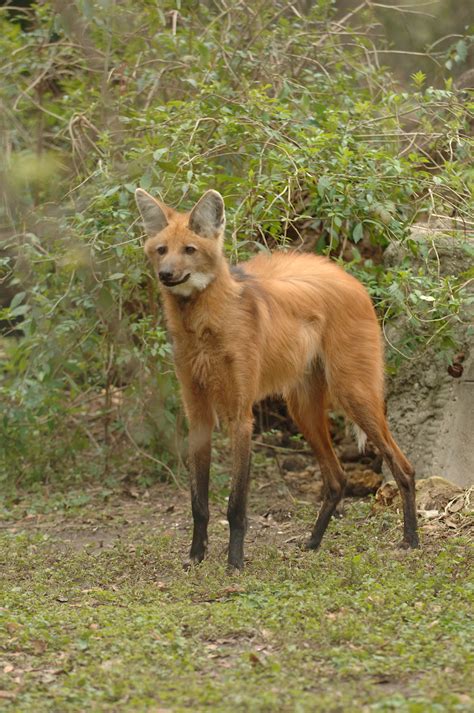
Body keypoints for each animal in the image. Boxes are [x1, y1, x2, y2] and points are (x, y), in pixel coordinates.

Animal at [134, 188, 418, 568]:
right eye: (162, 250)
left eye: (189, 250)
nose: (166, 274)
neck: (202, 326)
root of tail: (348, 276)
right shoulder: (198, 415)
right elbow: (198, 503)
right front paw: (196, 557)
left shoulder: (241, 416)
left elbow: (236, 505)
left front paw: (234, 563)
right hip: (303, 409)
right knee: (337, 478)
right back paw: (312, 543)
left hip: (353, 393)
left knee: (403, 467)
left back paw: (411, 540)